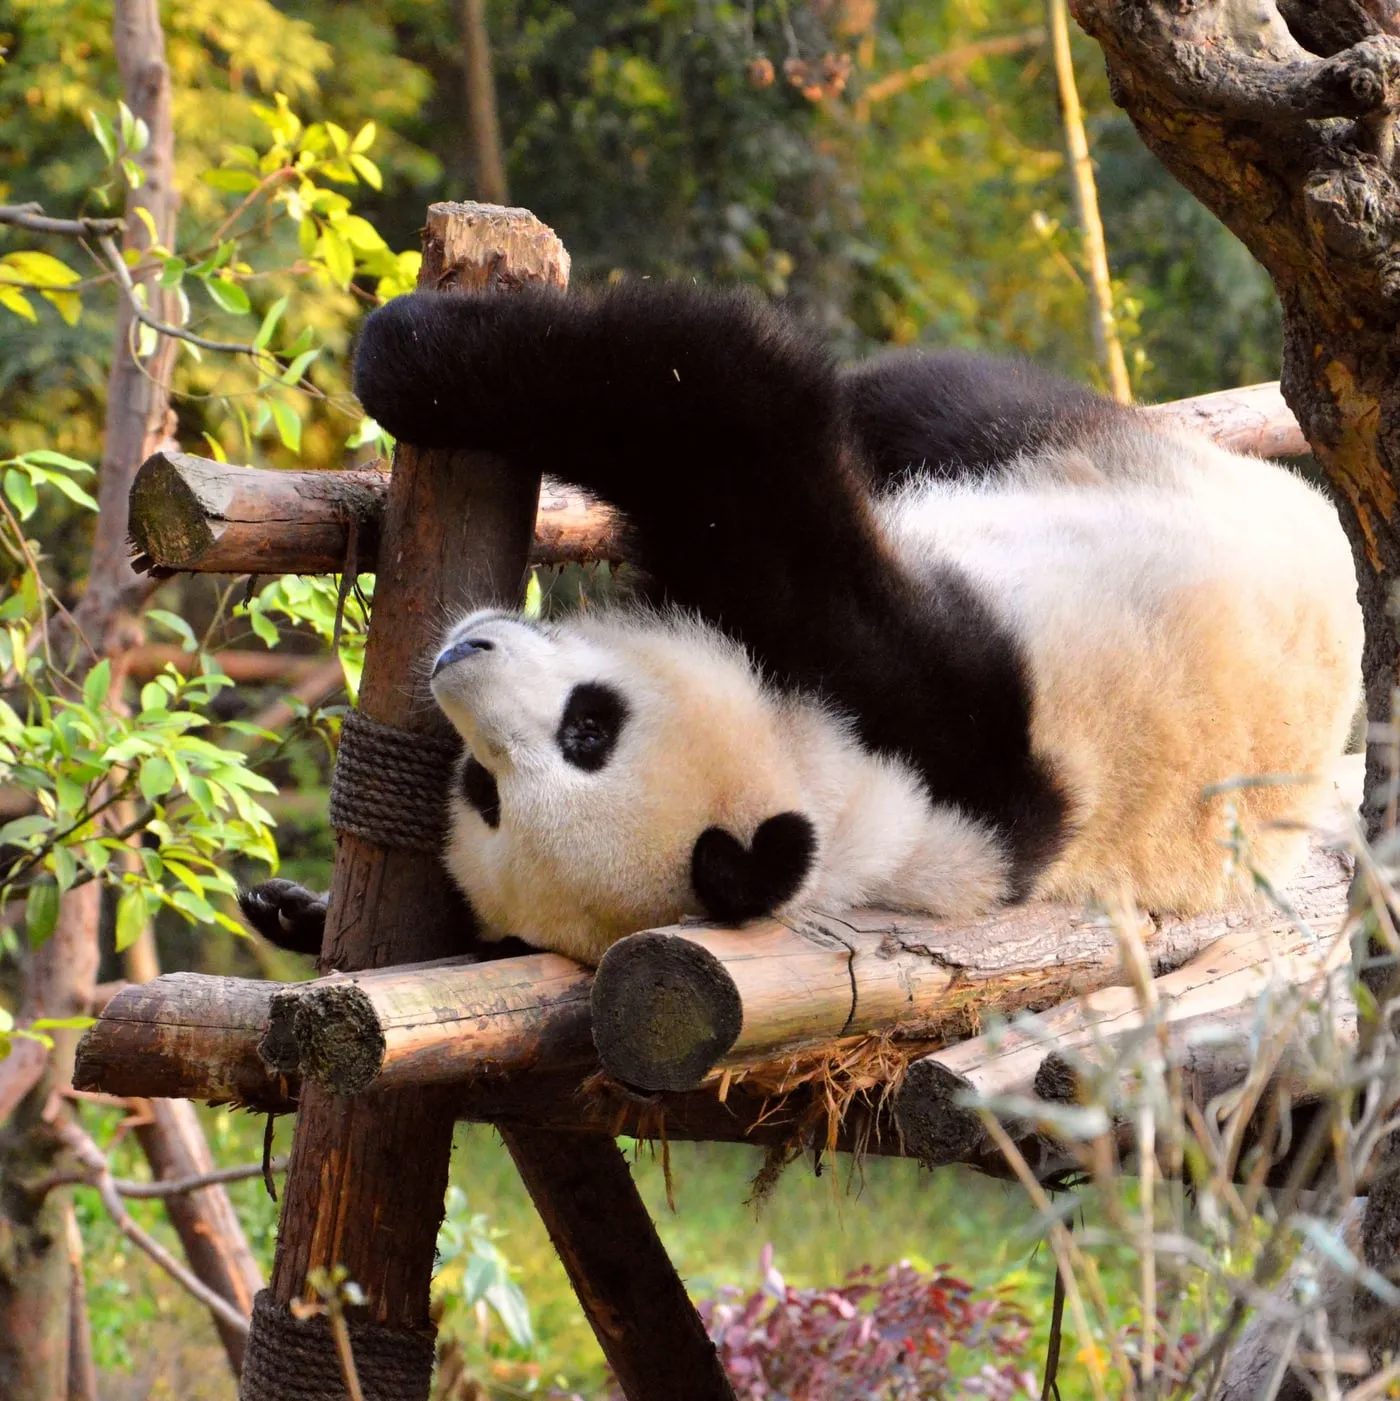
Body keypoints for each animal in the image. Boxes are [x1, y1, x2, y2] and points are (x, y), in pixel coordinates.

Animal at [239, 282, 1363, 967]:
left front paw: (409, 350)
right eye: (483, 791)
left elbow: (719, 416)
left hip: (1076, 464)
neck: (839, 797)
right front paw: (296, 912)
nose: (460, 653)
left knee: (936, 398)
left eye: (587, 731)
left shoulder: (900, 679)